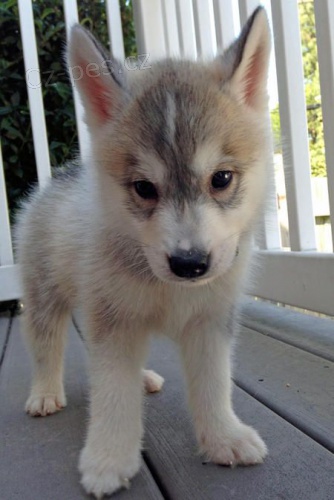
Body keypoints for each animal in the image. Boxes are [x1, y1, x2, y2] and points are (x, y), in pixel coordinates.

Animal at [15, 5, 272, 498]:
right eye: (144, 189)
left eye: (222, 179)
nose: (190, 264)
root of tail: (61, 176)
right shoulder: (114, 324)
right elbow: (113, 394)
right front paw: (109, 459)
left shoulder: (212, 321)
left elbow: (214, 384)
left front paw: (223, 437)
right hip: (45, 296)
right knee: (45, 344)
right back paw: (44, 391)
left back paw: (146, 377)